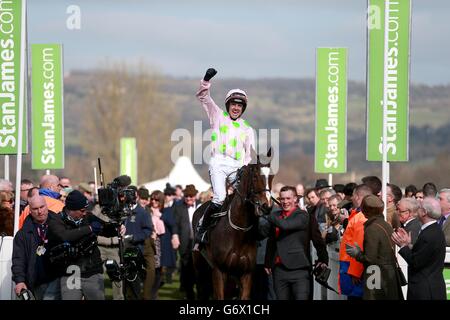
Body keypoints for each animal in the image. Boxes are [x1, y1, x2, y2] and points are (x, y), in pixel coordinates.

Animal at [191, 150, 272, 300]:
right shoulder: (219, 270)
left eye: (271, 177)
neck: (239, 233)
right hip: (200, 269)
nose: (267, 206)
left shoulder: (246, 274)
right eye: (255, 177)